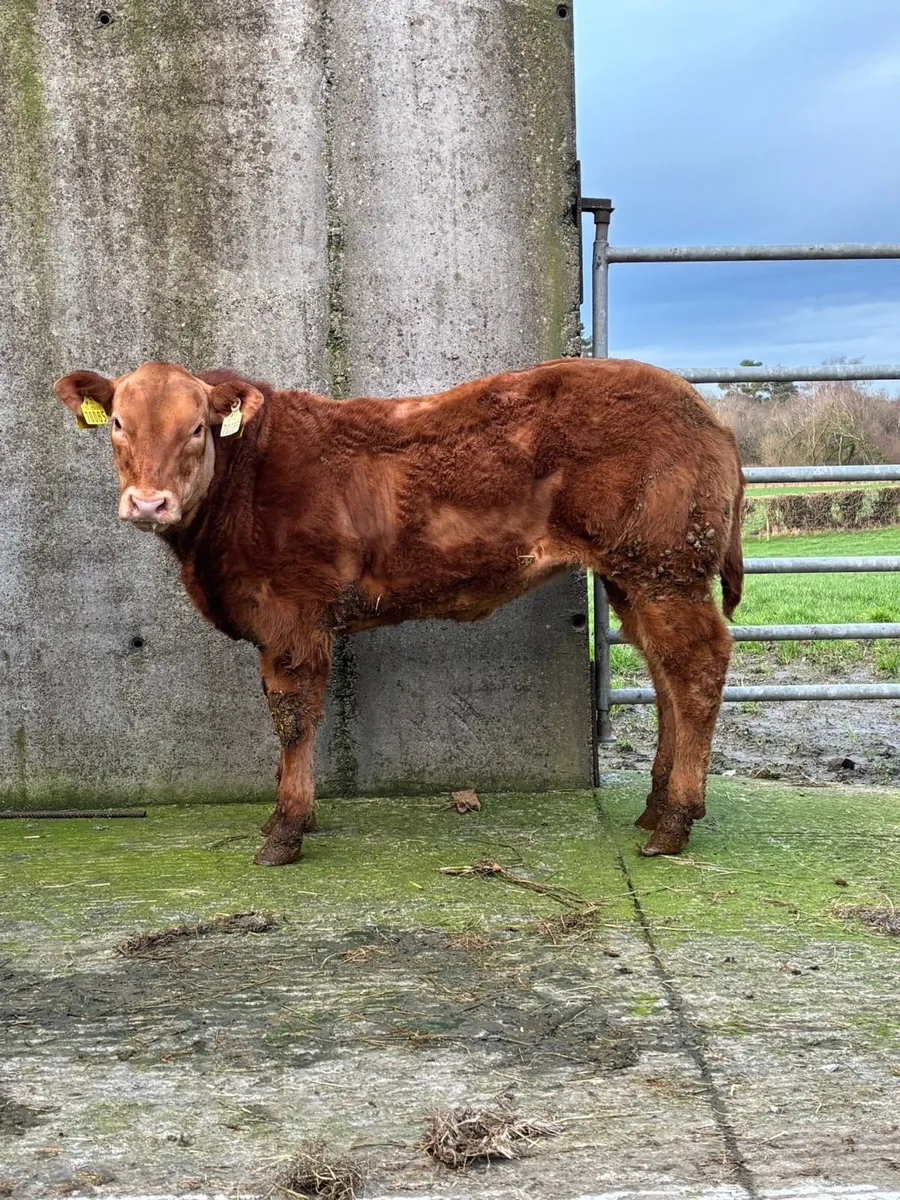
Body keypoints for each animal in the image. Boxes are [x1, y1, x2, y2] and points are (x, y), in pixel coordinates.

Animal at [53, 357, 743, 867]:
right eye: (118, 423)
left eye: (196, 427)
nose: (149, 503)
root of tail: (702, 409)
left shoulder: (292, 614)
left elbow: (292, 717)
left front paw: (286, 829)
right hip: (638, 576)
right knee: (663, 672)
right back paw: (656, 806)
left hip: (665, 567)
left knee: (697, 668)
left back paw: (675, 820)